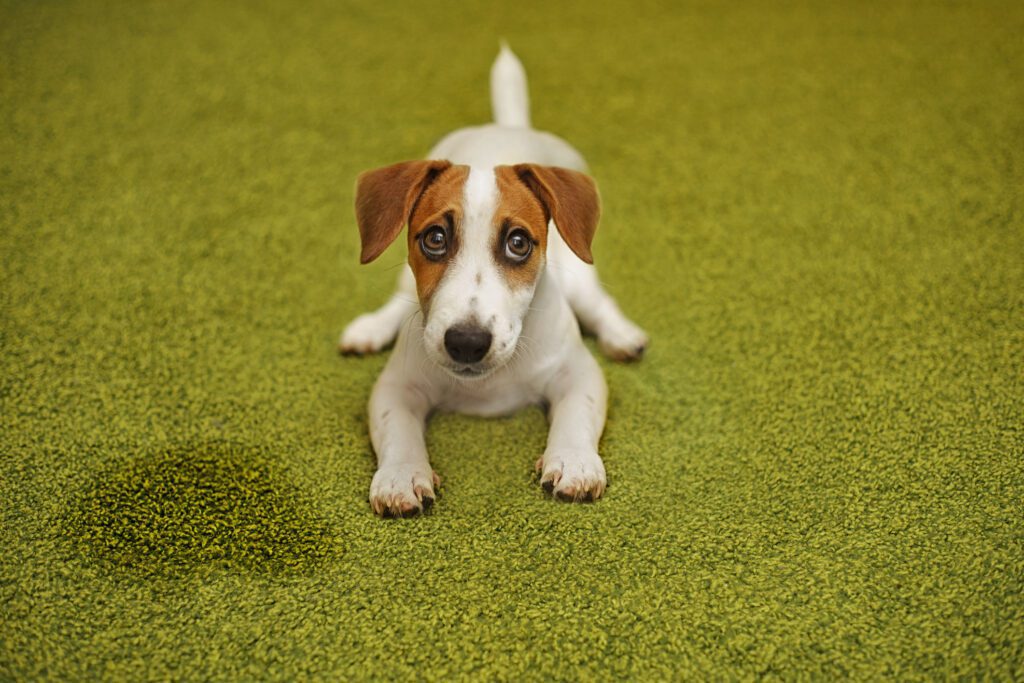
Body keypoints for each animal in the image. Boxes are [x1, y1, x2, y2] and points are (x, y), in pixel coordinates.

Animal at [344, 46, 647, 518]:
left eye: (518, 243)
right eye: (434, 238)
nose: (467, 343)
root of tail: (507, 124)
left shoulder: (578, 374)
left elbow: (576, 414)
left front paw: (574, 461)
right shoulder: (396, 388)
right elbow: (399, 431)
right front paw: (401, 475)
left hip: (579, 275)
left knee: (599, 304)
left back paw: (622, 335)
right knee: (396, 303)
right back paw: (370, 328)